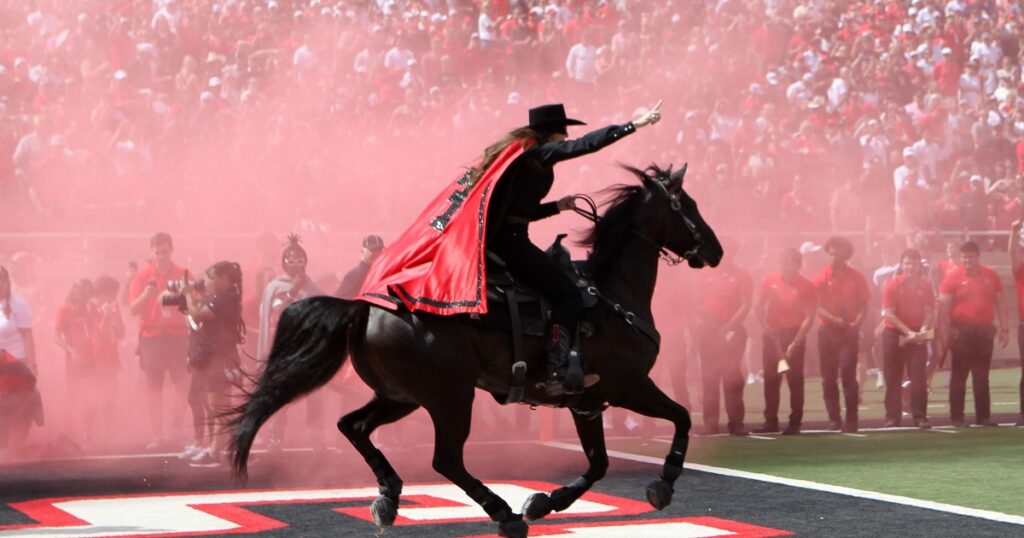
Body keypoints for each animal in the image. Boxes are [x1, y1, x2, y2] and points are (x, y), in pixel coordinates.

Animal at [228, 163, 724, 536]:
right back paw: (502, 513)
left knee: (353, 426)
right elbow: (681, 418)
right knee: (445, 458)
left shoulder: (587, 401)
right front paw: (663, 485)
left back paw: (389, 497)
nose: (716, 251)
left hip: (400, 396)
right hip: (450, 398)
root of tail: (364, 307)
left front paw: (545, 501)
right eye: (687, 205)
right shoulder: (629, 387)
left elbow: (599, 463)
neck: (610, 296)